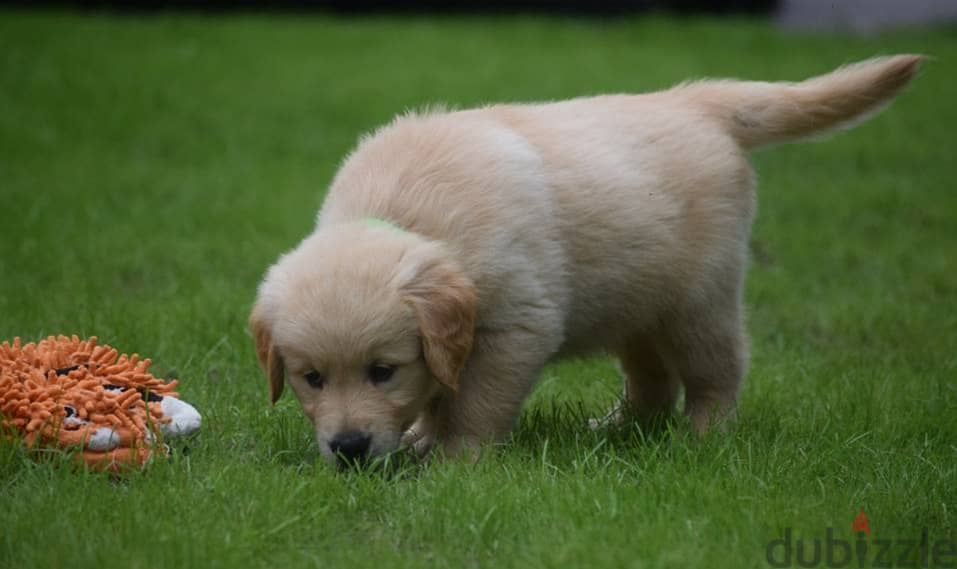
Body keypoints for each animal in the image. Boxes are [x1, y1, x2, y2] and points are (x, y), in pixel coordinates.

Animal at [250, 55, 924, 464]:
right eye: (311, 378)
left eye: (383, 371)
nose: (349, 447)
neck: (407, 211)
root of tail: (695, 101)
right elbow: (442, 390)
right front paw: (418, 438)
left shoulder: (516, 325)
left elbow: (473, 402)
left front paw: (454, 460)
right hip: (635, 303)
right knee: (652, 381)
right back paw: (619, 429)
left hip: (698, 300)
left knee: (718, 372)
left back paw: (703, 439)